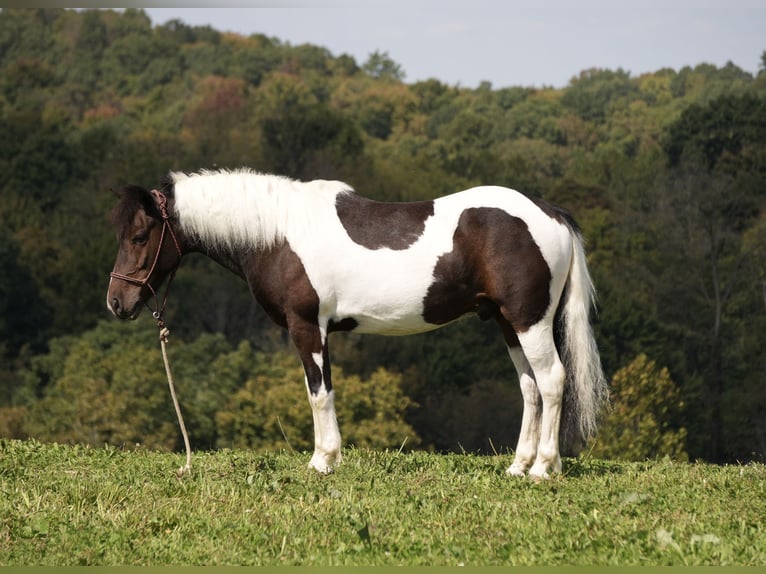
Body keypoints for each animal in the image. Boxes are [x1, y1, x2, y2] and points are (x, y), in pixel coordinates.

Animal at [106, 168, 607, 480]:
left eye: (139, 236)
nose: (116, 303)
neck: (277, 233)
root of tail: (551, 214)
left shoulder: (307, 327)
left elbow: (318, 392)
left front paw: (322, 461)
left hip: (529, 322)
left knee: (552, 380)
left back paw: (543, 468)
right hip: (507, 323)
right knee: (530, 388)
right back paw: (519, 466)